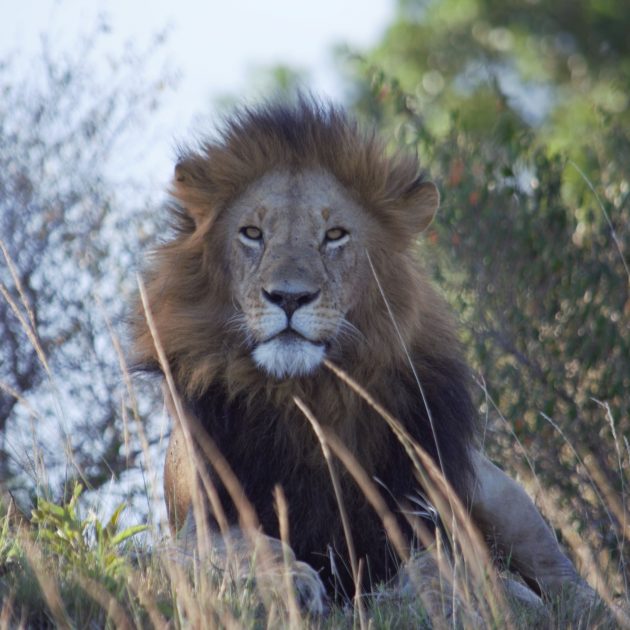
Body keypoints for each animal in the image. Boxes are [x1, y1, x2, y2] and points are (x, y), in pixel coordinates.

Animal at [132, 100, 592, 616]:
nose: (289, 297)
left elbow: (447, 566)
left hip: (499, 496)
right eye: (252, 233)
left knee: (567, 582)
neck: (309, 396)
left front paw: (438, 594)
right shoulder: (197, 528)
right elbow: (249, 547)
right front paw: (290, 582)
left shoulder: (416, 514)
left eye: (335, 235)